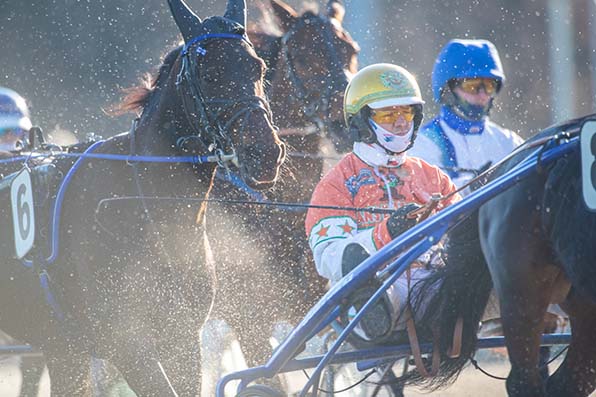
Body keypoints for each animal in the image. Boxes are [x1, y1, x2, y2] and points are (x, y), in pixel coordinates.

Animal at [0, 0, 286, 394]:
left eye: (257, 66)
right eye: (208, 73)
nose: (264, 152)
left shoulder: (182, 338)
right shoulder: (128, 345)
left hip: (62, 351)